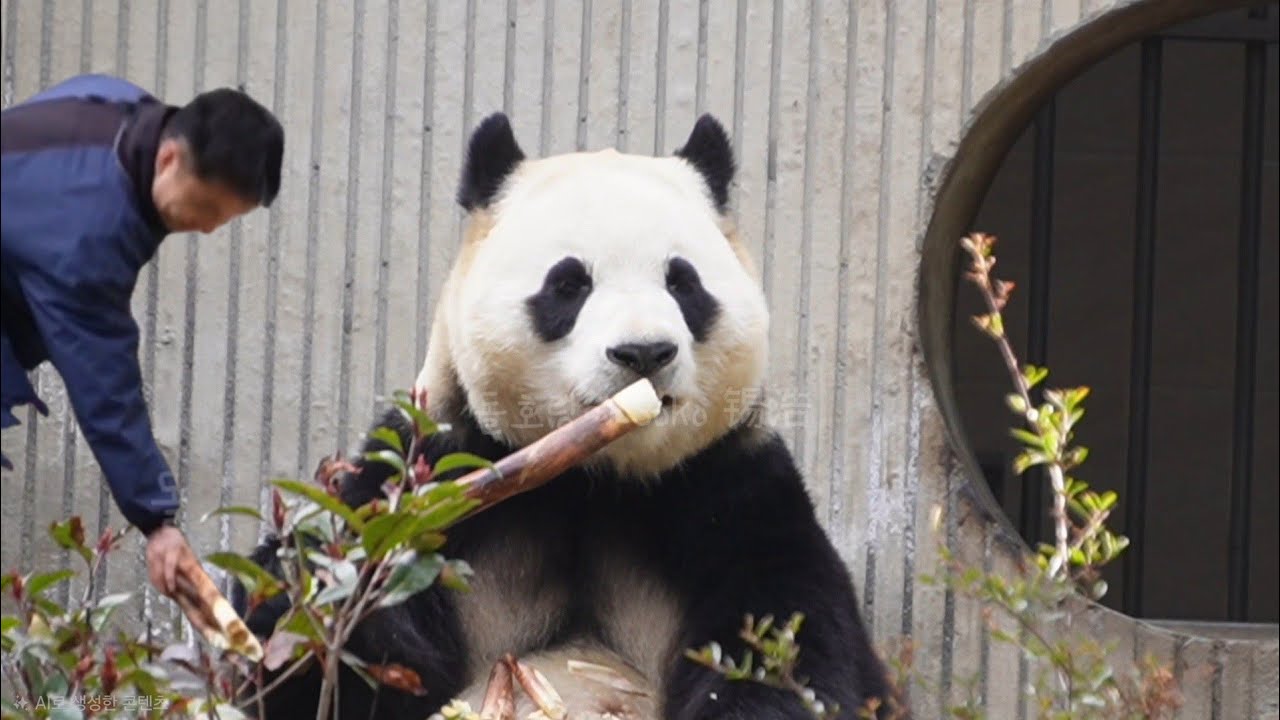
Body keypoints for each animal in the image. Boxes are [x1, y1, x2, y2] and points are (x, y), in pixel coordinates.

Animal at [236, 112, 893, 719]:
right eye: (570, 284)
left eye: (683, 283)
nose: (644, 353)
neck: (591, 474)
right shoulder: (435, 473)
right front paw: (324, 601)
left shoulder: (728, 486)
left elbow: (791, 639)